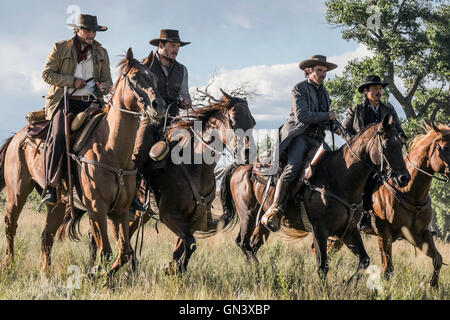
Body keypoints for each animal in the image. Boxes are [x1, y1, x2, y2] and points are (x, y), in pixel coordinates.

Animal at [0, 48, 165, 276]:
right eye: (134, 78)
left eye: (155, 79)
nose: (159, 105)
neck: (112, 149)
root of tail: (16, 137)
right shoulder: (96, 209)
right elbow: (105, 251)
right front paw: (97, 275)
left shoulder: (121, 210)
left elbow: (124, 252)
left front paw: (102, 275)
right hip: (17, 193)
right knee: (10, 227)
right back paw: (9, 265)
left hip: (59, 203)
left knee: (46, 236)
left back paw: (46, 272)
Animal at [220, 115, 410, 282]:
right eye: (386, 144)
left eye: (401, 143)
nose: (404, 178)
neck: (339, 177)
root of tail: (240, 167)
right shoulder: (320, 229)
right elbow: (322, 266)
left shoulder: (348, 230)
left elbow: (364, 260)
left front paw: (347, 284)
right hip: (248, 215)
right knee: (243, 243)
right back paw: (259, 272)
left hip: (261, 222)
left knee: (252, 246)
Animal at [328, 122, 448, 288]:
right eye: (444, 147)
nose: (403, 179)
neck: (409, 193)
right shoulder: (384, 234)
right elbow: (387, 270)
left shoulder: (420, 235)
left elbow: (438, 259)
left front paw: (433, 286)